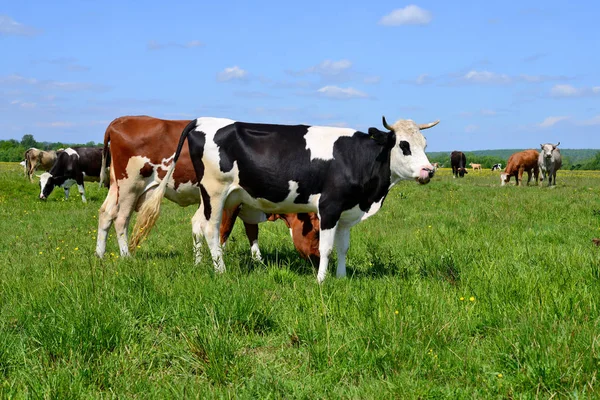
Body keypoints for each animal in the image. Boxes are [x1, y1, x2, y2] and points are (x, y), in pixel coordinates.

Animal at [97, 115, 324, 260]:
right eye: (316, 232)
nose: (316, 258)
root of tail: (120, 120)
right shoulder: (231, 204)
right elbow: (222, 231)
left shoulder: (248, 206)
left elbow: (252, 232)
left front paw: (258, 261)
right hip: (130, 186)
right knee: (121, 219)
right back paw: (126, 257)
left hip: (116, 187)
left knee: (106, 213)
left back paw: (99, 255)